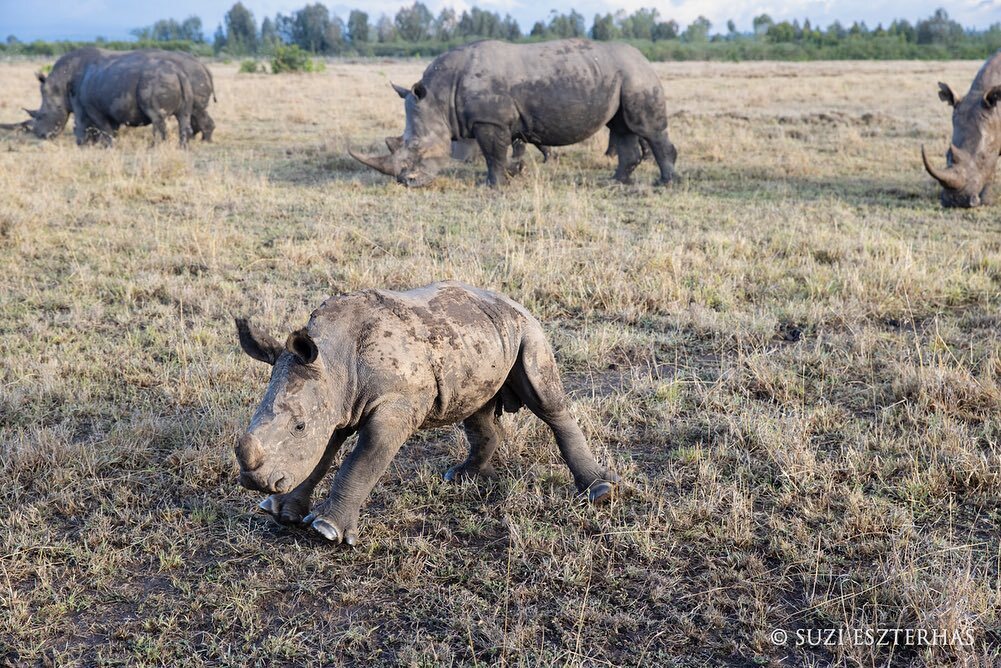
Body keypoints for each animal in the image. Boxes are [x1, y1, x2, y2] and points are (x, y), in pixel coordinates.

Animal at [232, 280, 616, 544]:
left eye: (298, 426)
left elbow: (363, 459)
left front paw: (326, 531)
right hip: (479, 337)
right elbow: (320, 455)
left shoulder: (394, 407)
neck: (333, 359)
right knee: (475, 408)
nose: (255, 482)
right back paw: (460, 477)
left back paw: (599, 492)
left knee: (546, 402)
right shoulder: (336, 401)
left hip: (529, 330)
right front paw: (280, 512)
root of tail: (512, 301)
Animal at [352, 38, 680, 188]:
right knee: (622, 127)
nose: (406, 182)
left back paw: (664, 182)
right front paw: (515, 171)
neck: (439, 98)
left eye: (418, 147)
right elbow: (507, 151)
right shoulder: (498, 121)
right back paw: (616, 181)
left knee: (646, 128)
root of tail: (644, 57)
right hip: (623, 76)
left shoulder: (490, 120)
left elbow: (493, 154)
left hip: (638, 76)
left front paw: (493, 185)